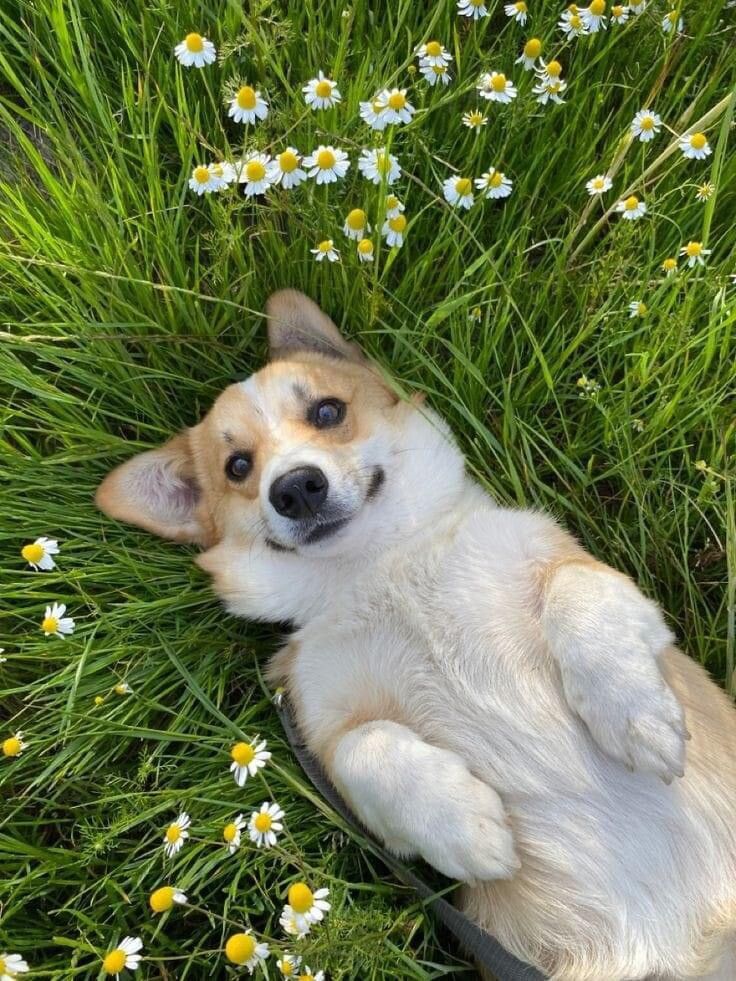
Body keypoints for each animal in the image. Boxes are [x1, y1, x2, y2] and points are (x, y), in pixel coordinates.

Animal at [98, 290, 736, 980]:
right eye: (237, 466)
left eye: (327, 411)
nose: (295, 487)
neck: (380, 563)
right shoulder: (326, 730)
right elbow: (368, 746)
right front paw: (467, 826)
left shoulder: (587, 576)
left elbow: (574, 592)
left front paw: (635, 717)